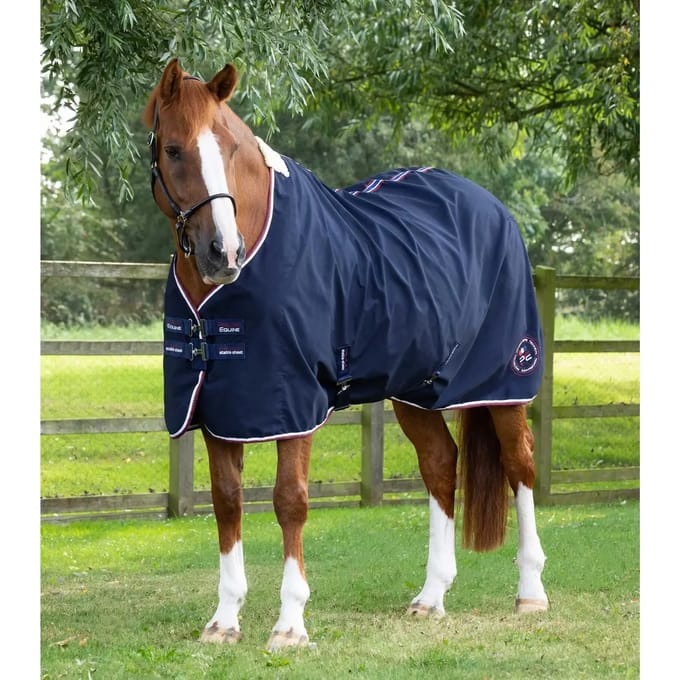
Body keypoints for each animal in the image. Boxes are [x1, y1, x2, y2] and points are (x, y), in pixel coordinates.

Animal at [142, 58, 549, 651]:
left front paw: (290, 625)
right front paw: (224, 620)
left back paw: (531, 592)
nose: (224, 253)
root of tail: (492, 207)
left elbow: (290, 500)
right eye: (173, 149)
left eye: (232, 149)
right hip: (416, 390)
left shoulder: (293, 403)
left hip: (504, 382)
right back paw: (431, 596)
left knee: (520, 465)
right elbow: (227, 501)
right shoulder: (220, 406)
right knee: (440, 465)